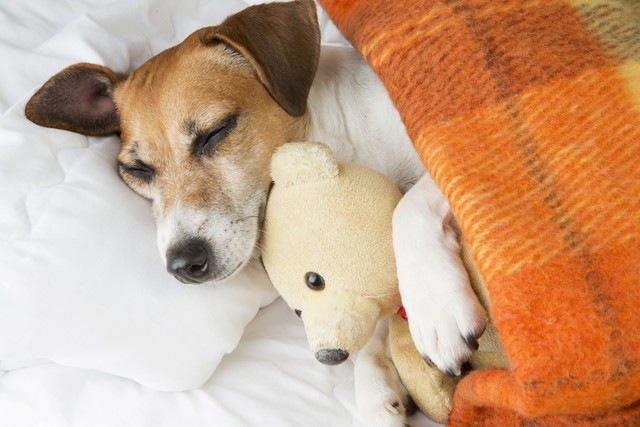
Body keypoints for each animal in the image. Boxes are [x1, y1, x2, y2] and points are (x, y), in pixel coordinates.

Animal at [25, 0, 484, 424]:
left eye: (215, 133)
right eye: (136, 169)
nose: (182, 264)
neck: (345, 142)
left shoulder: (452, 155)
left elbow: (408, 207)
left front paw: (435, 306)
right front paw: (375, 387)